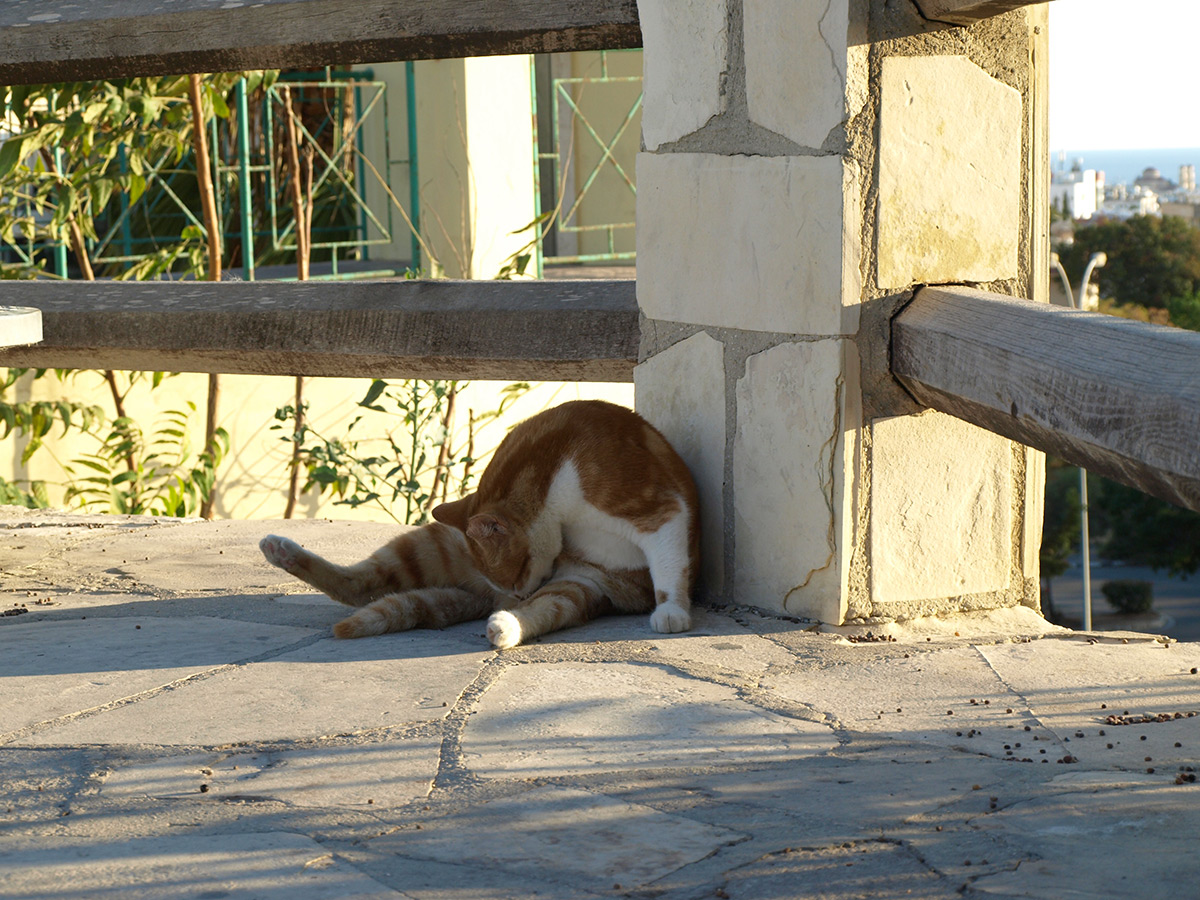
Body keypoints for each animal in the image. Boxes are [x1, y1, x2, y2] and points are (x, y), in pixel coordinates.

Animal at [258, 400, 700, 648]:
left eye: (517, 570)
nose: (515, 594)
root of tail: (482, 596)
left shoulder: (658, 510)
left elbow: (670, 565)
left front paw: (672, 612)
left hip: (578, 586)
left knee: (543, 612)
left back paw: (503, 626)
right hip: (428, 545)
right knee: (356, 585)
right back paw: (281, 551)